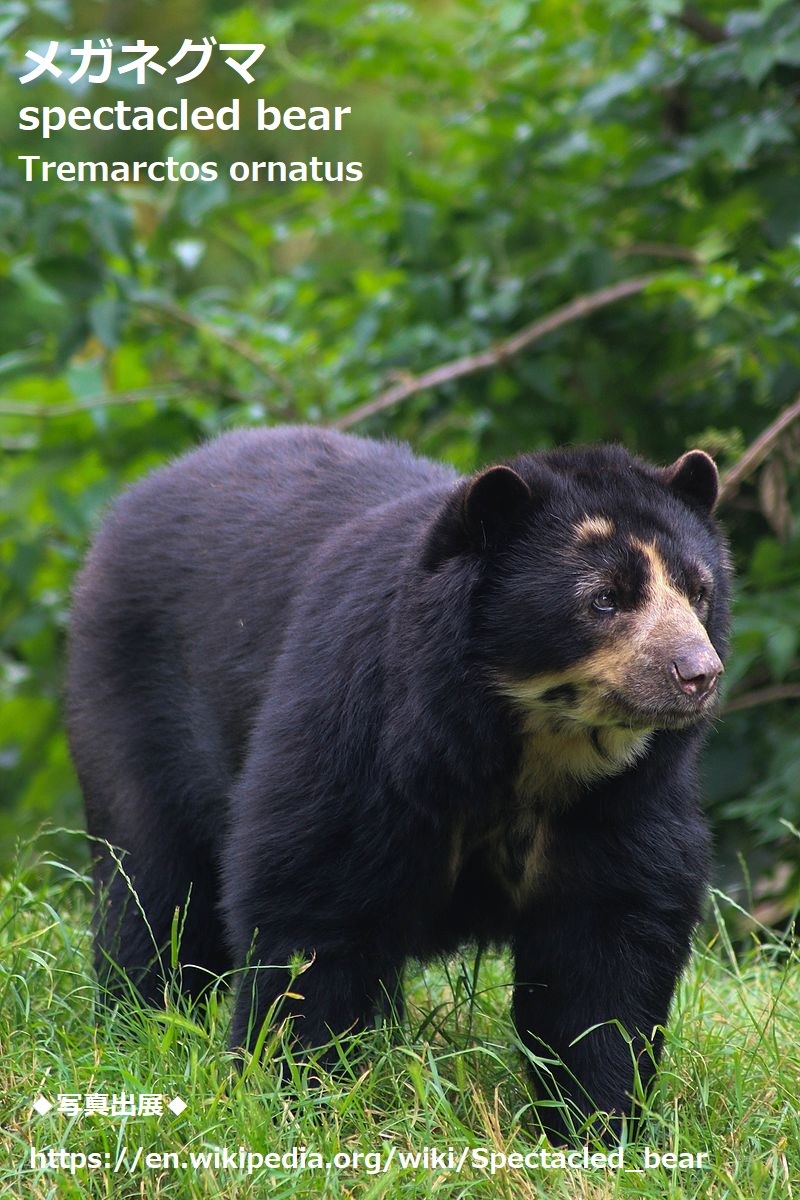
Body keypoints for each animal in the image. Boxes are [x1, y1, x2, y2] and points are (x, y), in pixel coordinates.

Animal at [67, 427, 734, 1137]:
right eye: (604, 598)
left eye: (697, 592)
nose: (697, 674)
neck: (531, 748)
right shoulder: (361, 739)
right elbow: (312, 911)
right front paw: (297, 1098)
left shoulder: (621, 801)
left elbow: (606, 952)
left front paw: (596, 1124)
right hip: (131, 705)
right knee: (156, 886)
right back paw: (138, 1023)